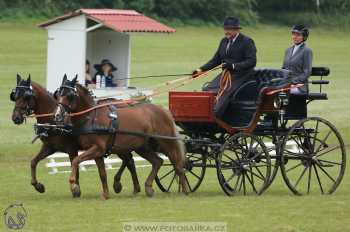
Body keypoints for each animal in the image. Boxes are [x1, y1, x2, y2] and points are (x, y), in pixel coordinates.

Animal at [11, 75, 139, 198]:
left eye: (26, 97)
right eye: (14, 96)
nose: (15, 118)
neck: (54, 120)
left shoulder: (71, 149)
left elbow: (75, 166)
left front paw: (75, 189)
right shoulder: (49, 147)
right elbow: (33, 162)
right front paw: (38, 186)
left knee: (129, 160)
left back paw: (120, 184)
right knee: (129, 160)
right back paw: (129, 186)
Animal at [53, 75, 189, 198]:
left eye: (70, 95)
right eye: (58, 94)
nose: (57, 115)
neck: (91, 117)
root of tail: (163, 110)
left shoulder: (98, 148)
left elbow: (76, 160)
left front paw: (73, 185)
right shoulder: (98, 152)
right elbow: (102, 173)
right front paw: (106, 194)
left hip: (166, 142)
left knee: (177, 164)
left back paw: (185, 190)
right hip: (142, 147)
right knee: (157, 161)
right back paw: (148, 187)